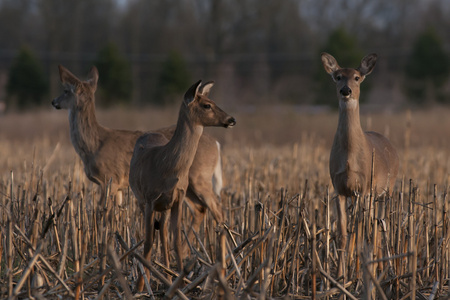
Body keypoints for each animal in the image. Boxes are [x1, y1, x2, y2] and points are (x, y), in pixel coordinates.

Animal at [51, 65, 225, 244]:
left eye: (65, 90)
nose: (54, 101)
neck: (94, 145)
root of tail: (217, 144)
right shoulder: (119, 186)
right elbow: (116, 215)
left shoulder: (109, 179)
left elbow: (102, 214)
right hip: (187, 185)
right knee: (199, 209)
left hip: (200, 176)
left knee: (217, 207)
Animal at [128, 80, 236, 290]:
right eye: (207, 105)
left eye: (213, 101)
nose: (231, 119)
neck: (166, 166)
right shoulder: (149, 199)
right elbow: (148, 242)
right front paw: (140, 286)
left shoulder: (177, 197)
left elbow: (176, 240)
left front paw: (179, 282)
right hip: (145, 201)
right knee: (156, 234)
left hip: (172, 201)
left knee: (164, 231)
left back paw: (168, 276)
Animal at [322, 52, 400, 278]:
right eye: (338, 76)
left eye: (356, 77)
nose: (346, 90)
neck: (349, 157)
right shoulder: (339, 188)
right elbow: (343, 234)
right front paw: (340, 275)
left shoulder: (363, 188)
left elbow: (358, 231)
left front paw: (357, 272)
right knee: (372, 225)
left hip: (386, 190)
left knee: (380, 225)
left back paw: (381, 267)